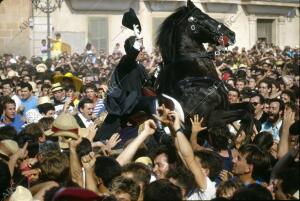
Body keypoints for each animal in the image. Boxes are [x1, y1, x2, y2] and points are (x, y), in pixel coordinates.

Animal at [157, 0, 253, 134]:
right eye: (202, 17)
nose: (231, 34)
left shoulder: (227, 106)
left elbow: (248, 107)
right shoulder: (210, 119)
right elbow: (245, 114)